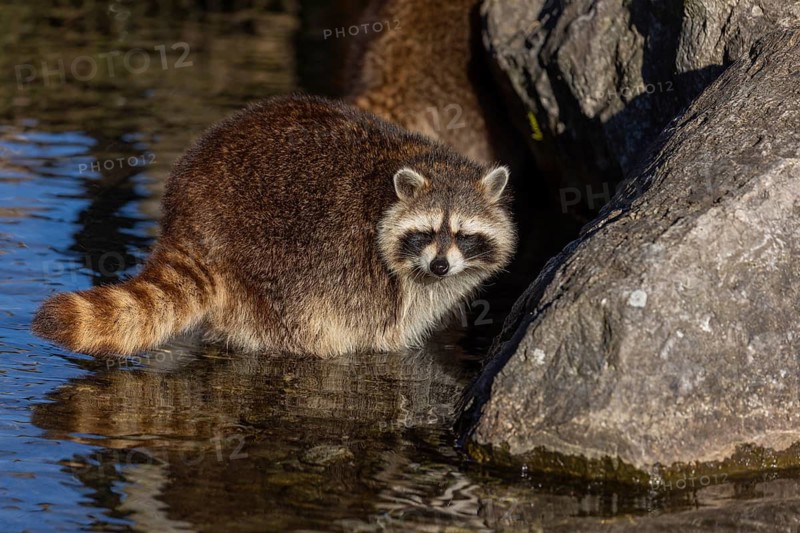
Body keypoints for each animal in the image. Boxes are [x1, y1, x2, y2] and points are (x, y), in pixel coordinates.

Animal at [31, 95, 516, 358]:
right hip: (278, 259)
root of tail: (189, 222)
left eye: (464, 235)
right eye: (428, 232)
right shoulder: (373, 277)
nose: (439, 267)